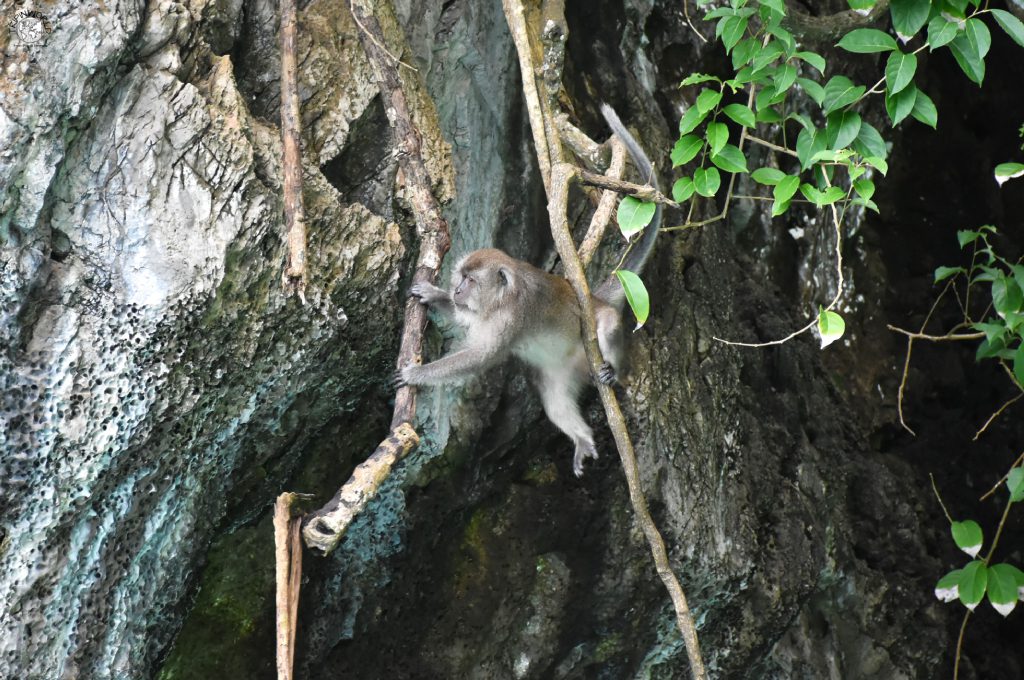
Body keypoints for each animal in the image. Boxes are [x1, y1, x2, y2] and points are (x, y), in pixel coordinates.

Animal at [395, 106, 659, 477]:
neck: (500, 301)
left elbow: (480, 357)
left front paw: (417, 374)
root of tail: (593, 298)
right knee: (554, 399)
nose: (457, 291)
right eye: (460, 278)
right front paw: (433, 296)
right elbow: (464, 321)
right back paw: (582, 439)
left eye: (470, 281)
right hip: (563, 370)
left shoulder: (510, 319)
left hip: (598, 327)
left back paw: (613, 369)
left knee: (608, 327)